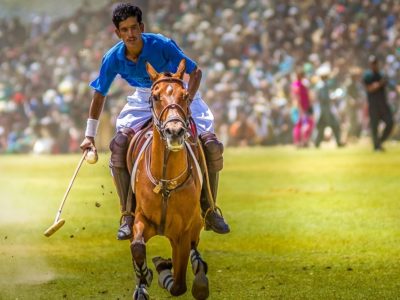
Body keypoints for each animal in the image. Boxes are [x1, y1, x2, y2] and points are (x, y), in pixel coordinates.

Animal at [127, 59, 209, 298]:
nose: (174, 131)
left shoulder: (183, 232)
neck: (165, 182)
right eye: (155, 96)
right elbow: (137, 246)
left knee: (194, 247)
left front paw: (164, 271)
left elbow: (179, 285)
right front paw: (145, 278)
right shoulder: (141, 218)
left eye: (185, 95)